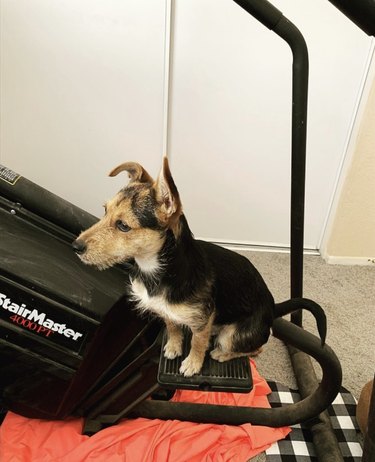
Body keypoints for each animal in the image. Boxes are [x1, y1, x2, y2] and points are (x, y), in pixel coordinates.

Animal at [73, 158, 326, 376]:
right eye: (104, 211)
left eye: (123, 226)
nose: (76, 246)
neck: (160, 268)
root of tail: (272, 308)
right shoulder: (167, 310)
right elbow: (172, 326)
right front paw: (174, 347)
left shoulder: (204, 318)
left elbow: (197, 341)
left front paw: (192, 364)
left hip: (234, 334)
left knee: (256, 347)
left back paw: (222, 353)